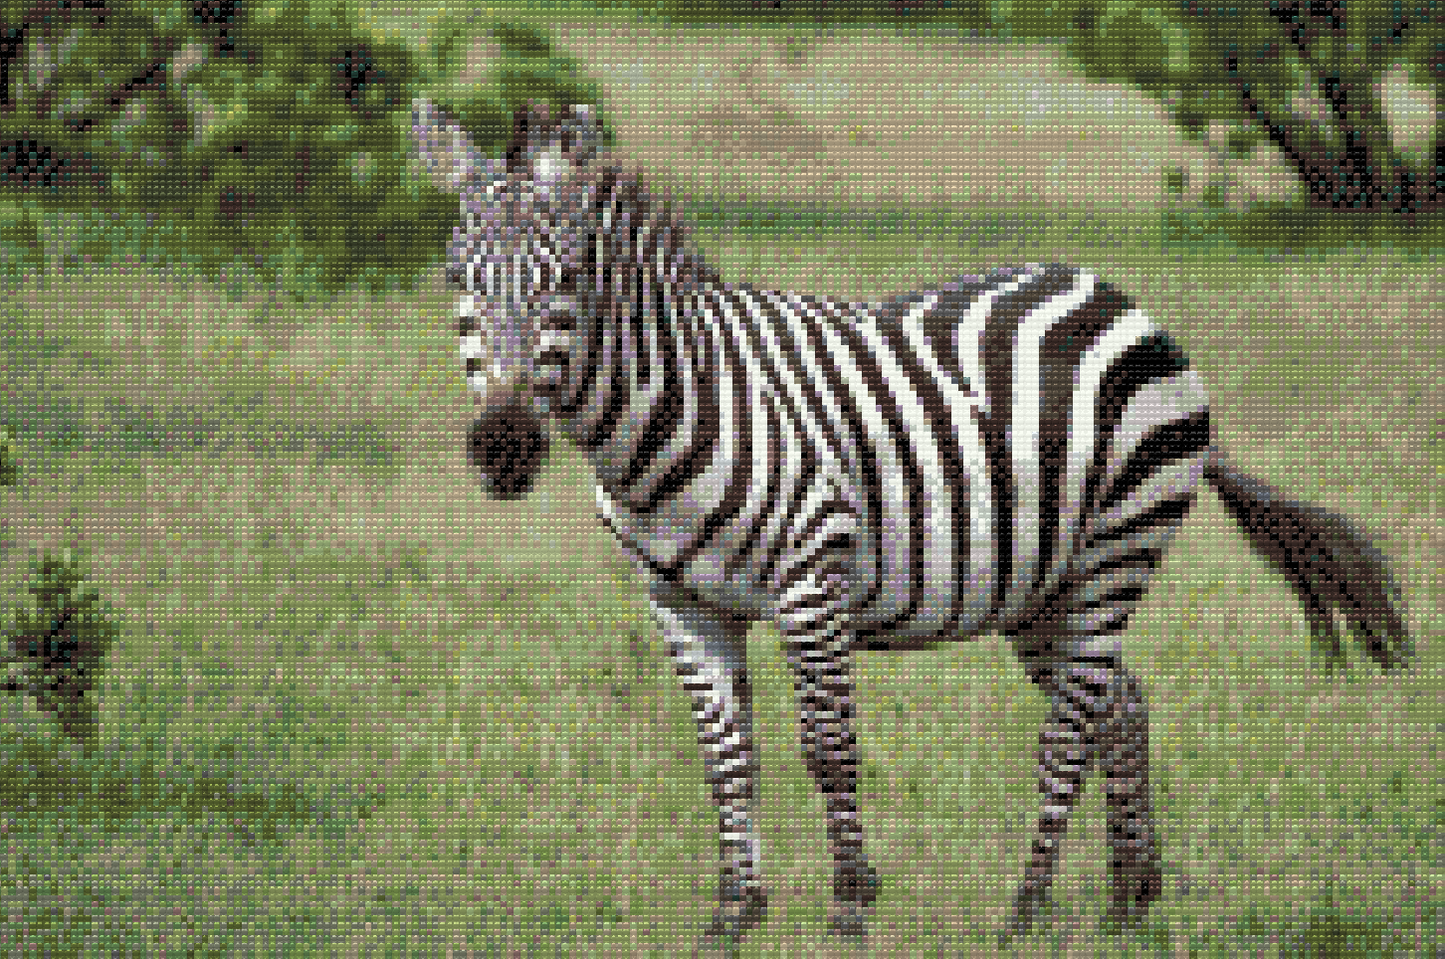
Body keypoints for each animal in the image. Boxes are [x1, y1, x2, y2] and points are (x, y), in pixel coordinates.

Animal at [410, 98, 1414, 944]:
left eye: (566, 278)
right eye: (457, 276)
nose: (503, 447)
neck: (672, 415)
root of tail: (1115, 296)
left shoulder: (811, 581)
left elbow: (828, 749)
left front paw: (851, 907)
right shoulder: (682, 601)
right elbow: (727, 759)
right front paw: (732, 914)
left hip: (1116, 548)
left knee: (1069, 730)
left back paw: (1026, 910)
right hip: (1040, 584)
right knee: (1117, 704)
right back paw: (1130, 901)